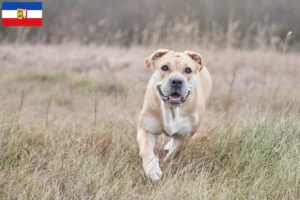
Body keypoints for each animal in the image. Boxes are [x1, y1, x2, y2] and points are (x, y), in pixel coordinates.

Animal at [137, 49, 212, 180]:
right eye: (164, 67)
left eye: (188, 70)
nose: (176, 81)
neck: (172, 110)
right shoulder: (146, 129)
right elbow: (146, 148)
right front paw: (152, 169)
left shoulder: (186, 135)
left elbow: (175, 153)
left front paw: (165, 163)